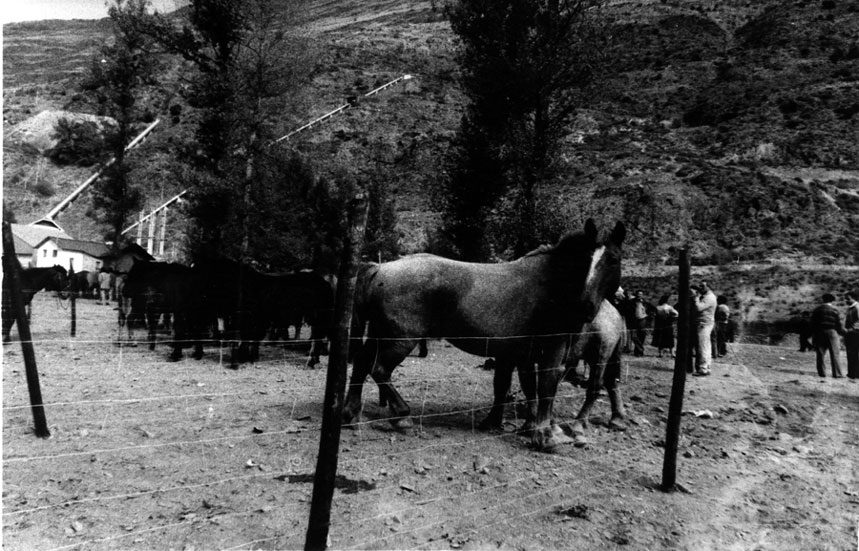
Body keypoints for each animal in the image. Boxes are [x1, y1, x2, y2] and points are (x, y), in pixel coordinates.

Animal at [484, 298, 632, 448]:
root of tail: (615, 312)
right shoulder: (518, 358)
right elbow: (519, 386)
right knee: (611, 382)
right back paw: (617, 419)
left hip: (600, 356)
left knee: (595, 387)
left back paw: (579, 426)